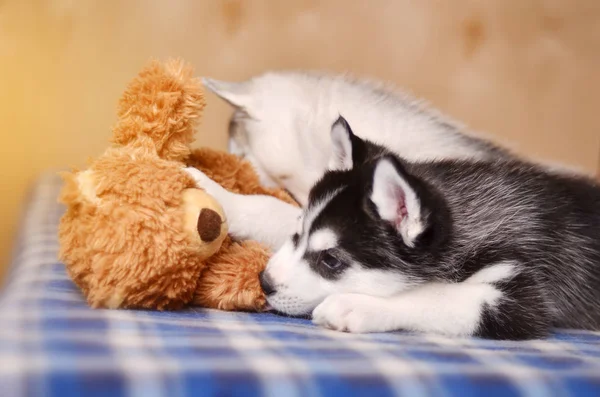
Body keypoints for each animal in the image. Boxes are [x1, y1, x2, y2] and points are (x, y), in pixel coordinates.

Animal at [188, 117, 600, 340]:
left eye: (331, 261)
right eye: (297, 234)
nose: (265, 282)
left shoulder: (523, 297)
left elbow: (436, 296)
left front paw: (355, 304)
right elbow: (273, 207)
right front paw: (221, 195)